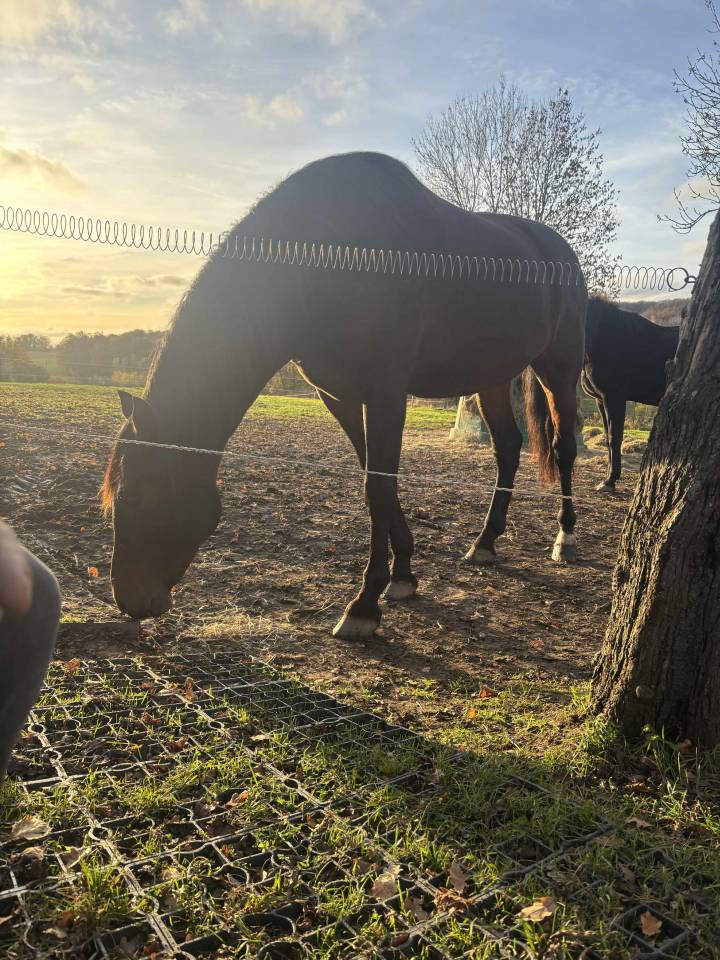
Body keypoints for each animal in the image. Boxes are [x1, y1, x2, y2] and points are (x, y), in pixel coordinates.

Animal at [101, 151, 587, 640]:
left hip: (559, 370)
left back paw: (564, 537)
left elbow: (380, 486)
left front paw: (364, 606)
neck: (326, 258)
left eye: (140, 495)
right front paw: (403, 574)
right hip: (490, 378)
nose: (129, 599)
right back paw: (485, 543)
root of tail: (559, 251)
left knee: (563, 447)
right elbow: (375, 483)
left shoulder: (386, 393)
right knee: (507, 447)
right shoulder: (339, 397)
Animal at [582, 297, 679, 492]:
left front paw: (609, 480)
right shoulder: (600, 400)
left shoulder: (614, 398)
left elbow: (615, 437)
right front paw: (608, 478)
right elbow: (607, 438)